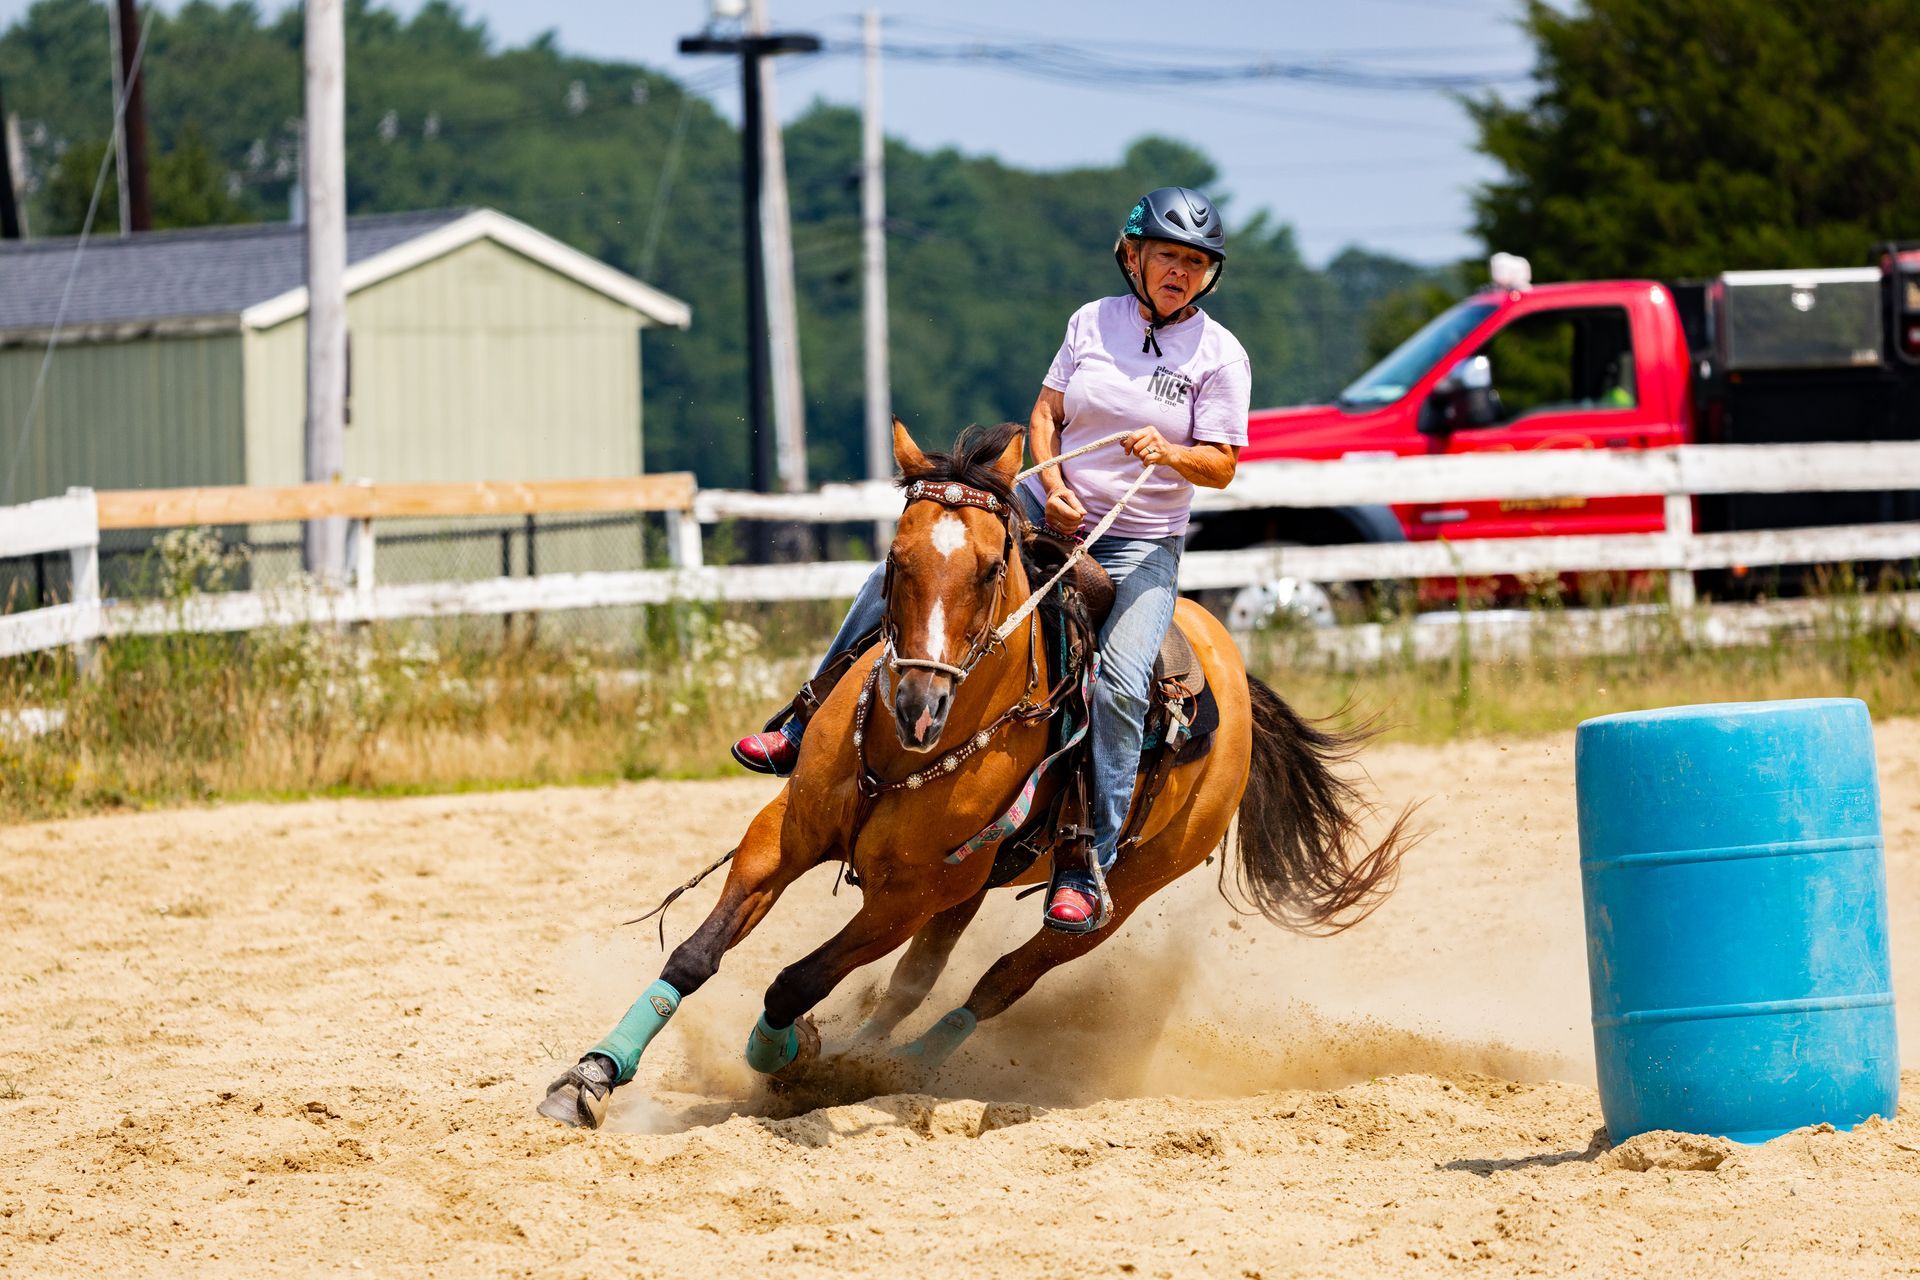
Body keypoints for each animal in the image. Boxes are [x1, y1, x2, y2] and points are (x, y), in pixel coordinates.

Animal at [538, 418, 1412, 1128]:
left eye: (994, 568)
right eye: (894, 559)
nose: (917, 704)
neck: (904, 756)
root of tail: (1230, 667)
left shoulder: (907, 895)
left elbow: (794, 980)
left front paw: (785, 1056)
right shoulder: (783, 838)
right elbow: (695, 955)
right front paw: (591, 1078)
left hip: (1117, 895)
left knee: (998, 982)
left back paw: (892, 1067)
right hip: (972, 883)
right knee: (913, 984)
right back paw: (863, 1052)